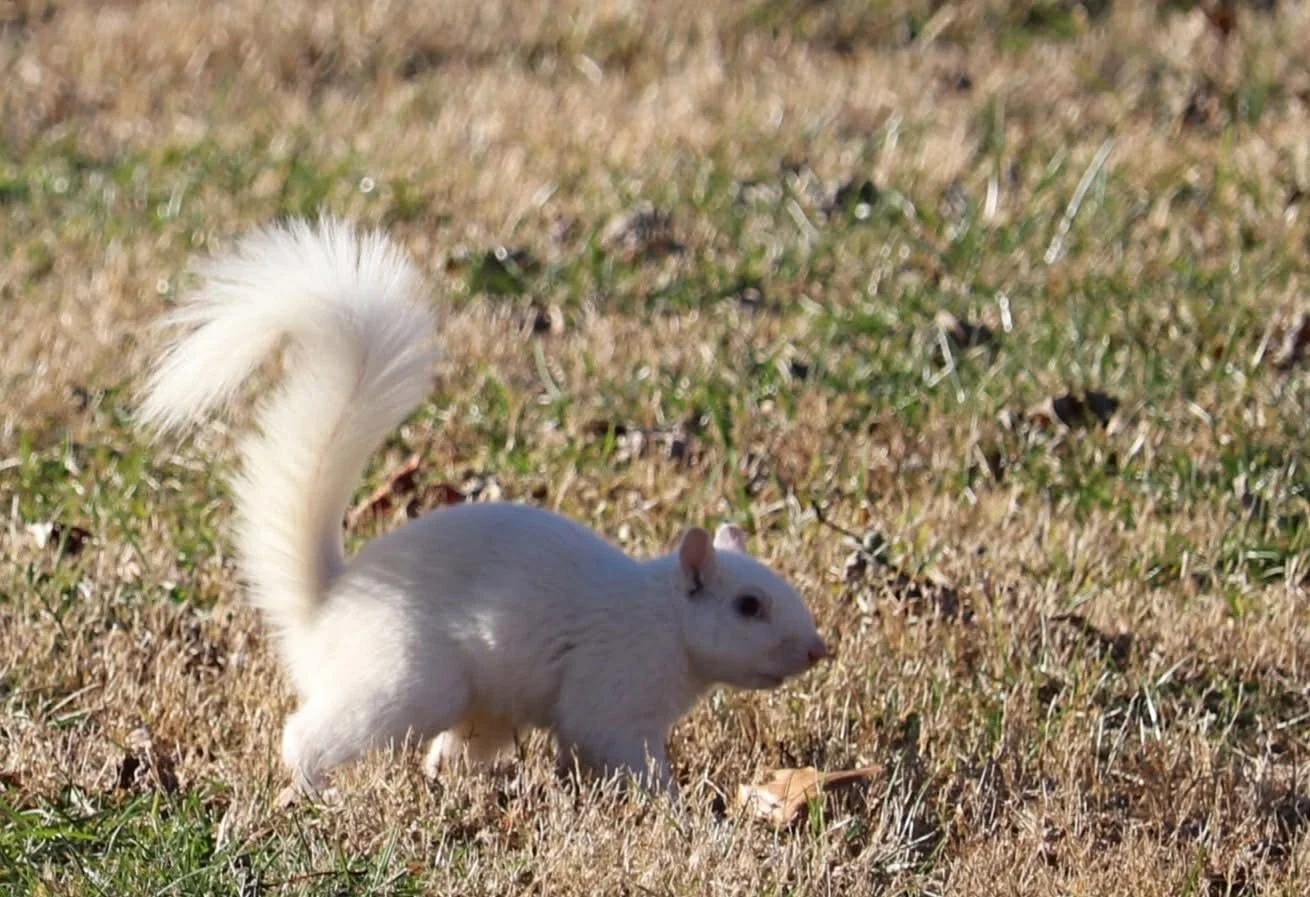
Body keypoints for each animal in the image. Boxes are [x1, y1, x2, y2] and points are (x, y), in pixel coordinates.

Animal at [137, 217, 829, 795]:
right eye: (748, 605)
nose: (817, 650)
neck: (664, 620)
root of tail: (323, 614)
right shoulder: (613, 692)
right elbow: (619, 751)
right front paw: (681, 808)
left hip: (480, 708)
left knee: (452, 754)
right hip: (410, 685)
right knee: (309, 735)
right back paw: (318, 790)